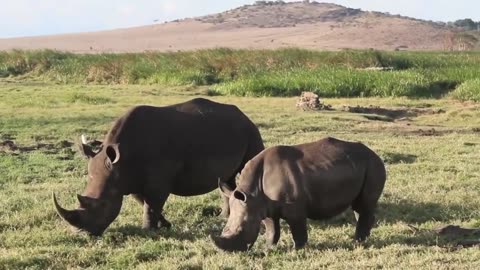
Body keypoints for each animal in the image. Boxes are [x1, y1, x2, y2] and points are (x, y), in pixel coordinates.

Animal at [53, 98, 264, 235]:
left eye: (103, 204)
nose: (81, 233)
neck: (119, 162)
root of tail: (243, 114)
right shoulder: (129, 178)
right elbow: (145, 202)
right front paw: (165, 225)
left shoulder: (157, 180)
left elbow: (152, 204)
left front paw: (148, 231)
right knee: (226, 180)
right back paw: (223, 217)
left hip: (251, 131)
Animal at [214, 137, 386, 251]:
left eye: (242, 228)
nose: (230, 252)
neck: (252, 192)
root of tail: (375, 154)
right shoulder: (264, 206)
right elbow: (271, 229)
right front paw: (269, 248)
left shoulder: (294, 208)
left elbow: (298, 230)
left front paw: (298, 250)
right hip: (362, 166)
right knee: (359, 207)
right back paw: (362, 239)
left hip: (373, 165)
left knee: (364, 204)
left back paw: (358, 242)